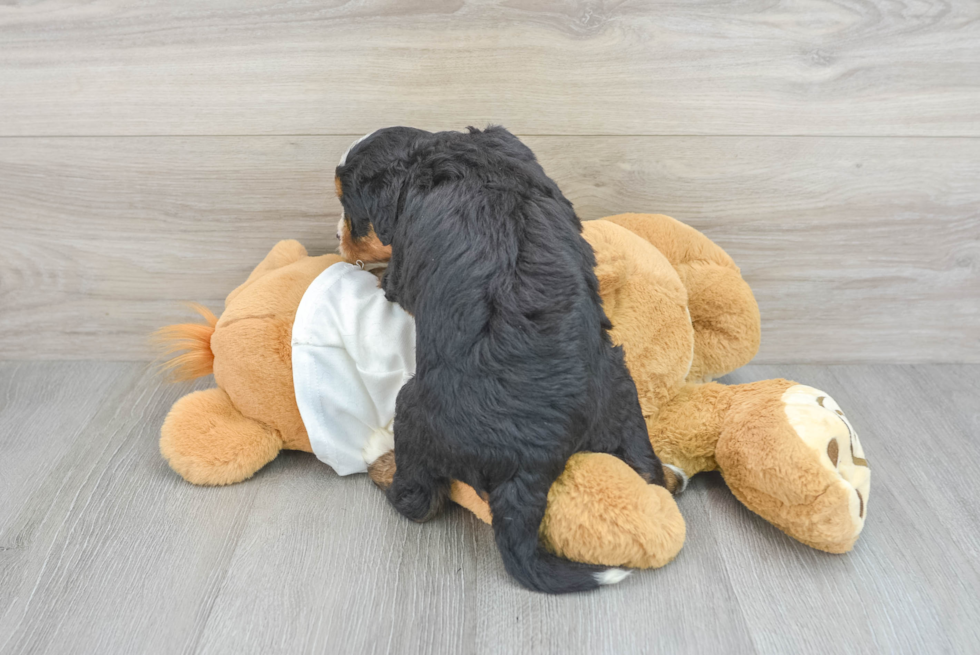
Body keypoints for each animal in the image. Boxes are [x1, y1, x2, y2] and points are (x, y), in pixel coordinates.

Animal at [336, 124, 668, 596]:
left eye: (349, 209)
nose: (337, 239)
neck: (433, 152)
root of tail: (529, 461)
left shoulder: (401, 271)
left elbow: (391, 281)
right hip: (621, 390)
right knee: (649, 472)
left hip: (413, 412)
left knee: (418, 499)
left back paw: (379, 459)